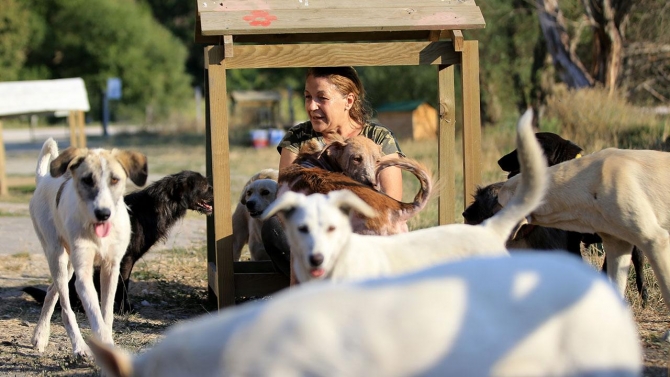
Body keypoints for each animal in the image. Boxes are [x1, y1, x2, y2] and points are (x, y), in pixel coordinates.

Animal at [29, 138, 148, 356]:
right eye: (87, 180)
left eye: (115, 180)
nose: (103, 213)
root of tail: (42, 179)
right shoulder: (83, 275)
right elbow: (96, 318)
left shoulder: (111, 269)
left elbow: (106, 314)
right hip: (57, 257)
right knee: (66, 308)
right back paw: (78, 346)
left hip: (68, 265)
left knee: (51, 291)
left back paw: (40, 336)